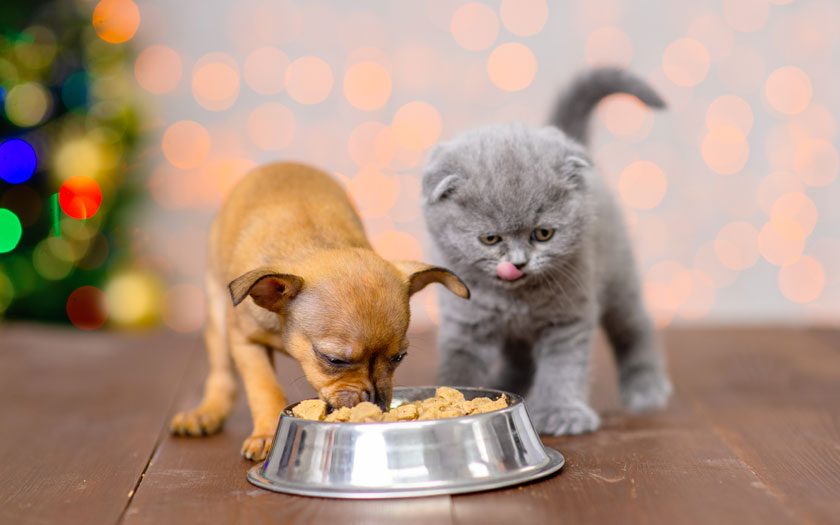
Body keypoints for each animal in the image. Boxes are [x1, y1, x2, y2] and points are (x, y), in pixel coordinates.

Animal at [167, 163, 470, 458]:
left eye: (399, 358)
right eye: (334, 360)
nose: (375, 403)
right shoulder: (246, 342)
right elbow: (265, 388)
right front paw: (267, 434)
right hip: (217, 314)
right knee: (222, 374)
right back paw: (207, 412)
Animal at [424, 68, 672, 434]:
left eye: (543, 234)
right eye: (489, 239)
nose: (518, 263)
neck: (515, 298)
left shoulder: (567, 318)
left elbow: (562, 368)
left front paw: (561, 412)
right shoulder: (466, 322)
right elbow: (462, 364)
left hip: (618, 275)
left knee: (634, 324)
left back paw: (646, 385)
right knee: (521, 357)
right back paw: (510, 382)